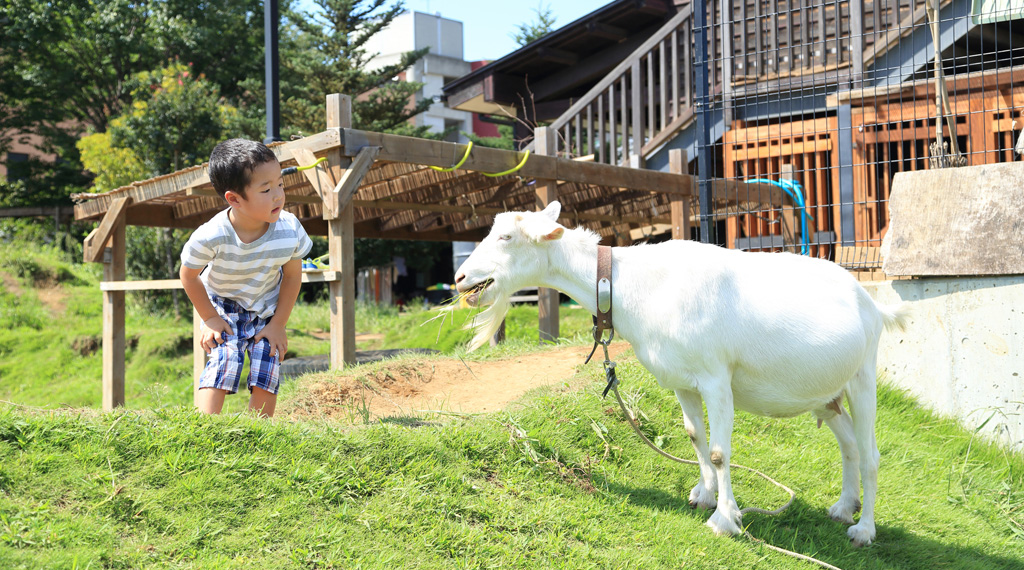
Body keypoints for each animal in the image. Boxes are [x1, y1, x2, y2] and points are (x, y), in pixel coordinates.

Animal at [456, 201, 913, 548]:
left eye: (506, 237)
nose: (460, 277)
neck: (631, 285)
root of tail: (872, 304)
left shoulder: (716, 378)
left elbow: (720, 451)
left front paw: (726, 519)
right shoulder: (682, 381)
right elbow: (695, 436)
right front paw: (704, 496)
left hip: (863, 376)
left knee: (871, 453)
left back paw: (863, 529)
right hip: (828, 394)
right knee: (849, 443)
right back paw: (843, 507)